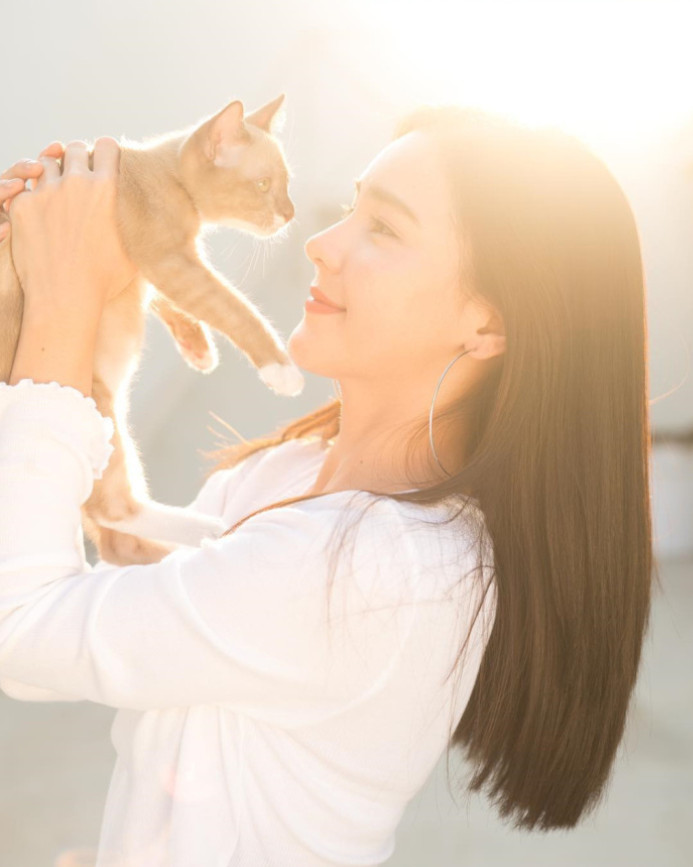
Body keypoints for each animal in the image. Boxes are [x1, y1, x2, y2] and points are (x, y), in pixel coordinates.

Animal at [0, 95, 302, 568]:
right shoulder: (169, 261)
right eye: (263, 184)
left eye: (285, 184)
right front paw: (280, 368)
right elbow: (233, 308)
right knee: (115, 511)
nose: (290, 214)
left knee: (114, 542)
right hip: (97, 407)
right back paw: (208, 531)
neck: (163, 173)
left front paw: (198, 349)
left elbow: (169, 303)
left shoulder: (157, 270)